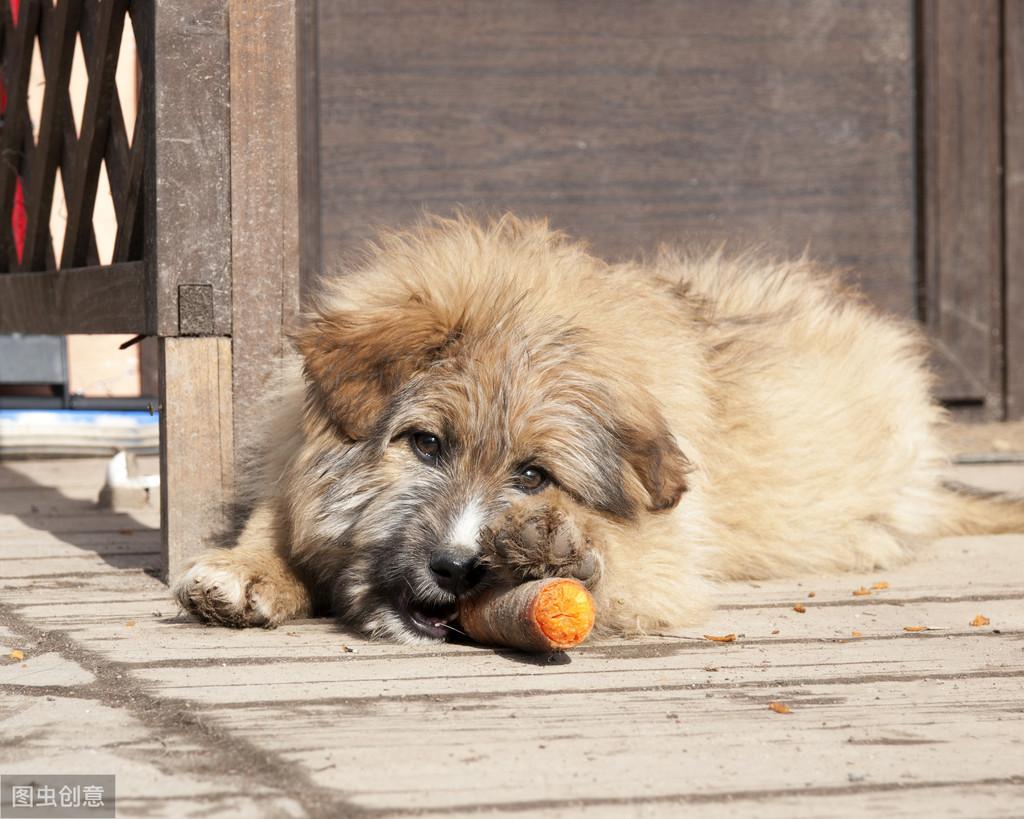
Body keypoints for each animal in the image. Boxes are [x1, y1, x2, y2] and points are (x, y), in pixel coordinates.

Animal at [174, 213, 1024, 642]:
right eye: (426, 443)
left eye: (533, 475)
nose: (457, 568)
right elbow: (271, 519)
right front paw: (249, 570)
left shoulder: (664, 563)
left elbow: (617, 553)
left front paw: (558, 547)